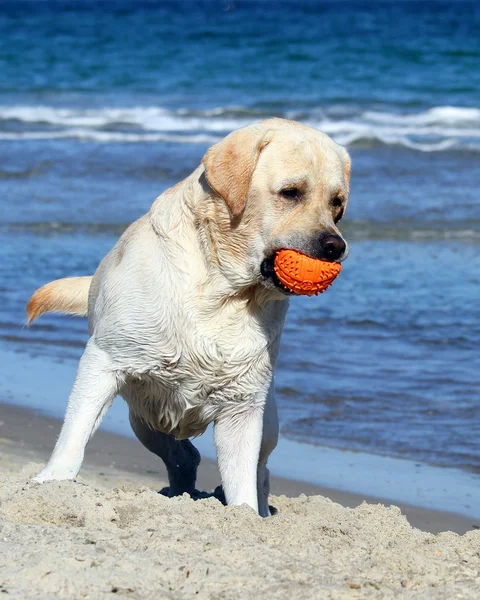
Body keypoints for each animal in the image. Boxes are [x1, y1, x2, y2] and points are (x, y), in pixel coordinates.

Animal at [27, 117, 348, 516]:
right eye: (291, 192)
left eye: (337, 203)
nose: (336, 246)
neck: (225, 289)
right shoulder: (103, 362)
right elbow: (75, 432)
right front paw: (52, 481)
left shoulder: (244, 404)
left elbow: (242, 478)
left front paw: (244, 516)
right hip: (143, 417)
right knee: (182, 455)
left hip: (267, 419)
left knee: (259, 469)